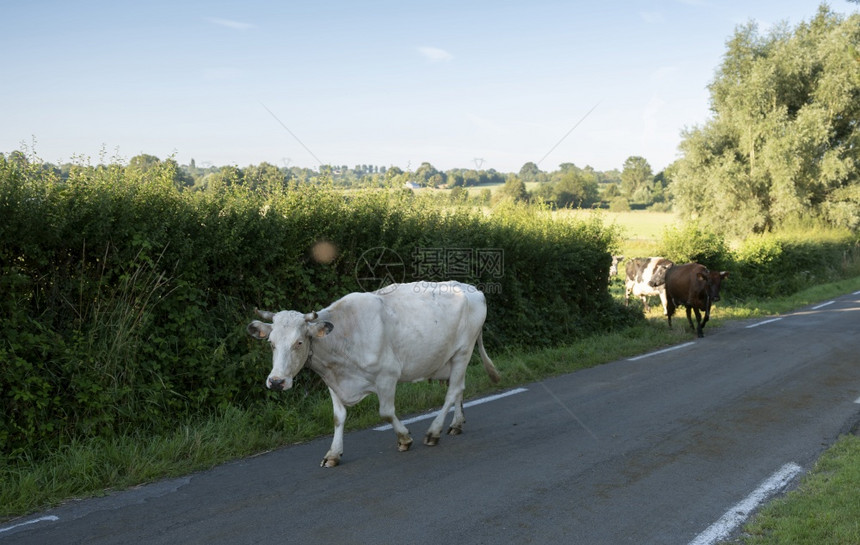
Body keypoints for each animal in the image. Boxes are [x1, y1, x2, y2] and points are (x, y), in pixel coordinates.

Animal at [245, 280, 500, 468]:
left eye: (299, 342)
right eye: (271, 343)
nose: (276, 381)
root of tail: (472, 289)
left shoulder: (387, 375)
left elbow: (386, 412)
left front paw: (404, 438)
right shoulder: (333, 381)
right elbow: (338, 418)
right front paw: (333, 454)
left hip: (463, 351)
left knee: (453, 391)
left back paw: (433, 432)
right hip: (452, 358)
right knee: (459, 388)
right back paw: (457, 424)